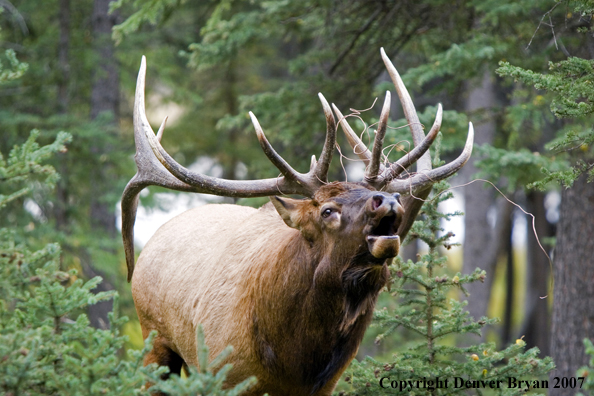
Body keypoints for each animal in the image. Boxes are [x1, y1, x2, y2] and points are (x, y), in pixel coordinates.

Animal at [120, 48, 472, 394]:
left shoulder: (326, 384)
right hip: (155, 339)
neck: (295, 362)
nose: (387, 200)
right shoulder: (224, 372)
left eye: (389, 195)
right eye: (327, 210)